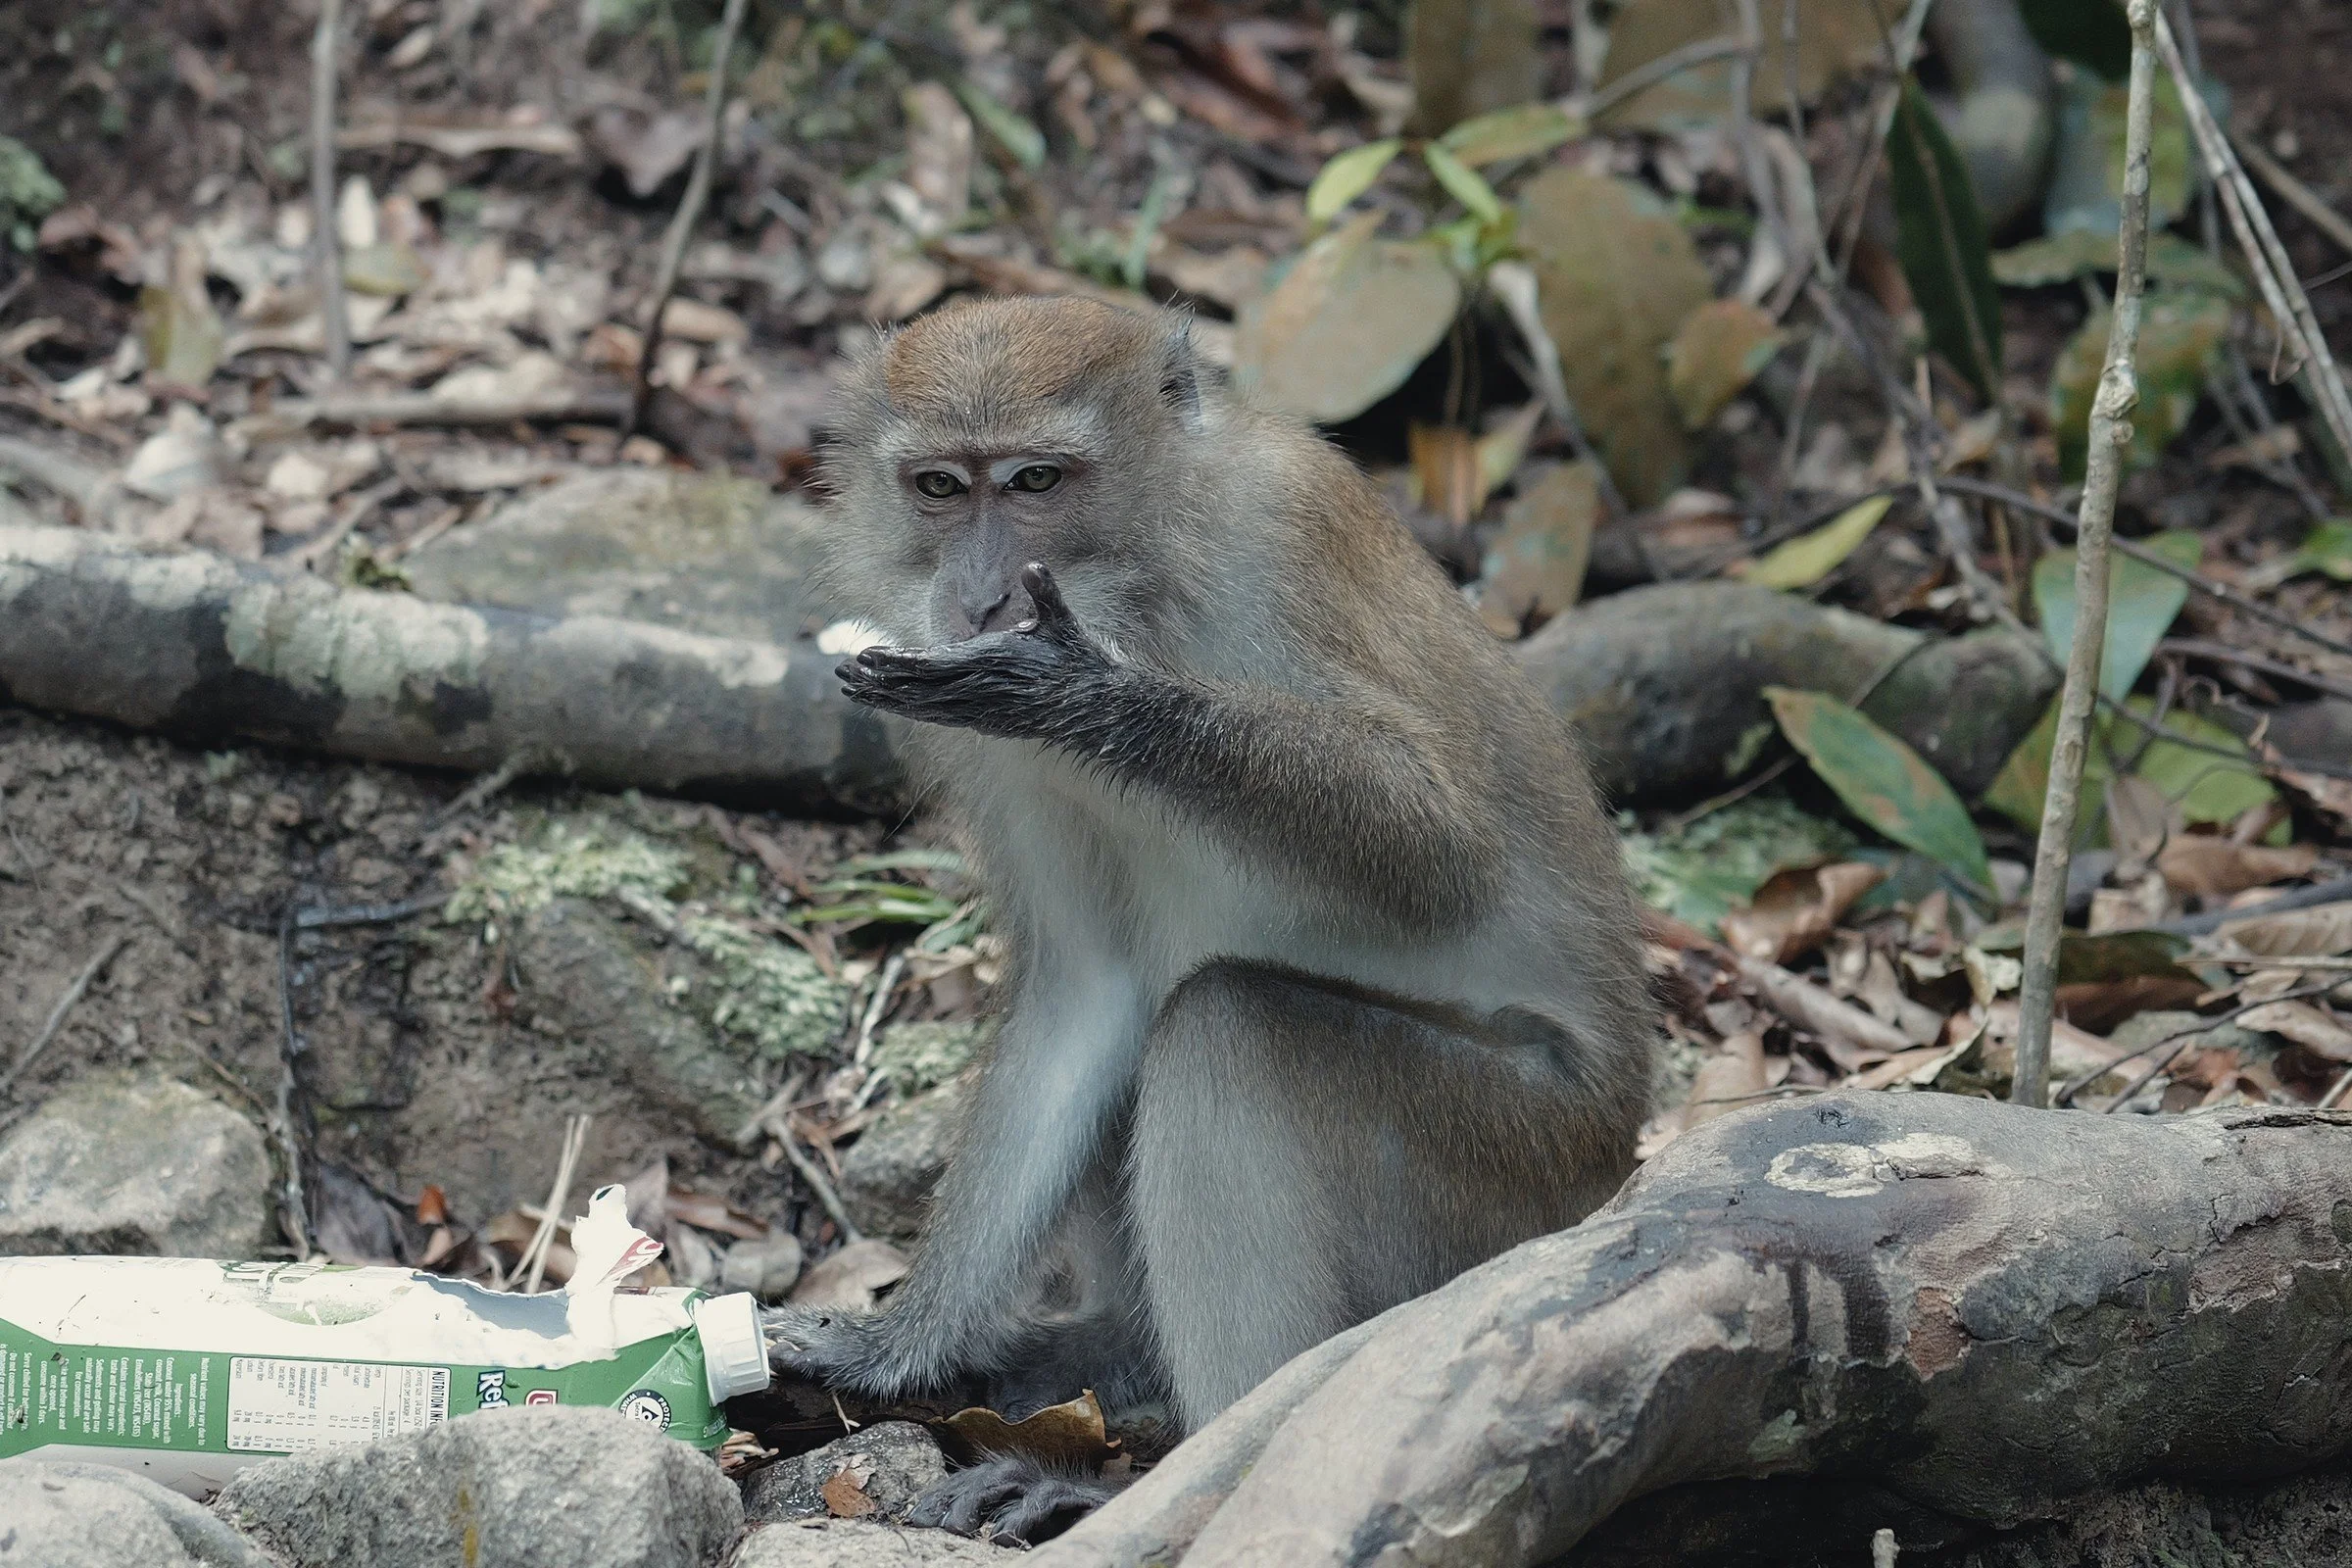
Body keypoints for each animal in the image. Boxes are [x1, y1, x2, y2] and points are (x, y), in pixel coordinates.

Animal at [766, 294, 1657, 1542]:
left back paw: (1159, 1471)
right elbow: (1085, 988)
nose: (981, 596)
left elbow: (1445, 850)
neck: (1146, 590)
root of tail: (1616, 1162)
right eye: (941, 486)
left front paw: (1088, 695)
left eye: (1036, 480)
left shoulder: (1285, 532)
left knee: (1226, 1027)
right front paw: (896, 1350)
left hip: (1514, 1172)